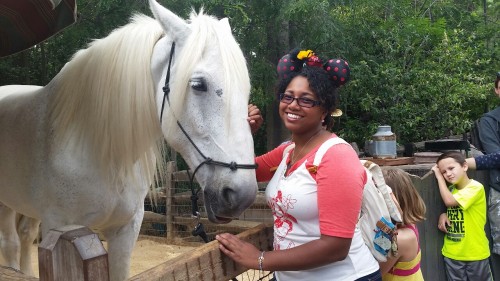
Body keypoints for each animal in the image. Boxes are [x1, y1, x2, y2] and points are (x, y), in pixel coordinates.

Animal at [0, 1, 258, 278]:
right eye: (198, 84)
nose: (242, 195)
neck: (97, 147)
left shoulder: (126, 230)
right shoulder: (59, 228)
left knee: (25, 237)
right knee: (12, 244)